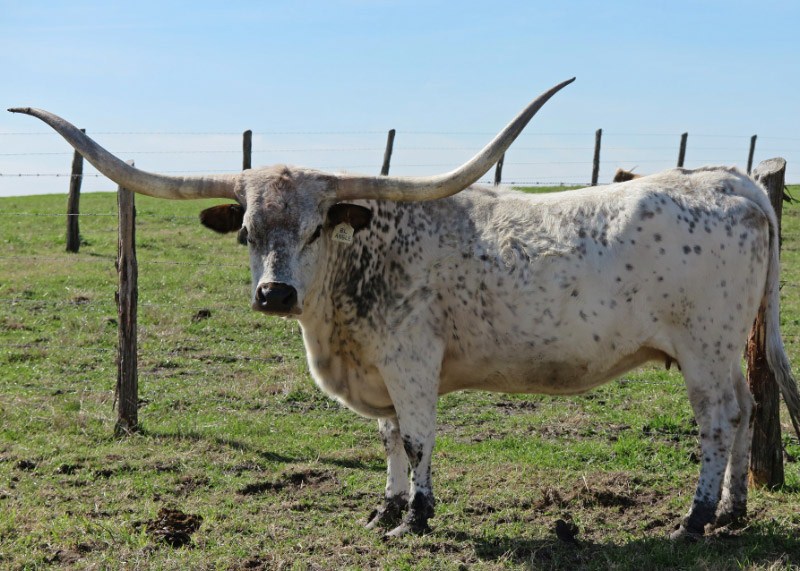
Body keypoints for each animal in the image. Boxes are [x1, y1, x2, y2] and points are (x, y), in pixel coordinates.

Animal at [10, 78, 800, 540]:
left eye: (316, 227)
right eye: (246, 231)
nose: (275, 293)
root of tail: (732, 181)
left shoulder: (412, 363)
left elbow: (418, 439)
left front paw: (415, 519)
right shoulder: (378, 374)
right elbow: (389, 440)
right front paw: (384, 508)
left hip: (703, 348)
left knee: (719, 420)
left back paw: (694, 518)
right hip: (724, 349)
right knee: (746, 412)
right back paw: (732, 513)